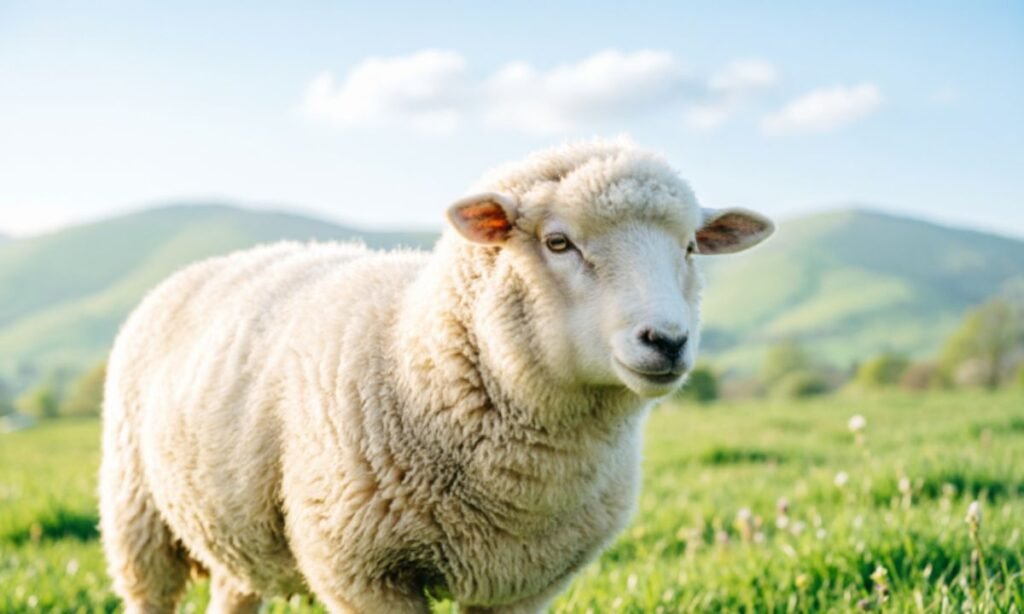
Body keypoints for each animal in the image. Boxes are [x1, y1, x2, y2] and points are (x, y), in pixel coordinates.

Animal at [99, 140, 773, 613]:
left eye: (689, 248)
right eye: (558, 242)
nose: (667, 340)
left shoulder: (519, 584)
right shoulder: (365, 574)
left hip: (231, 531)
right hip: (137, 515)